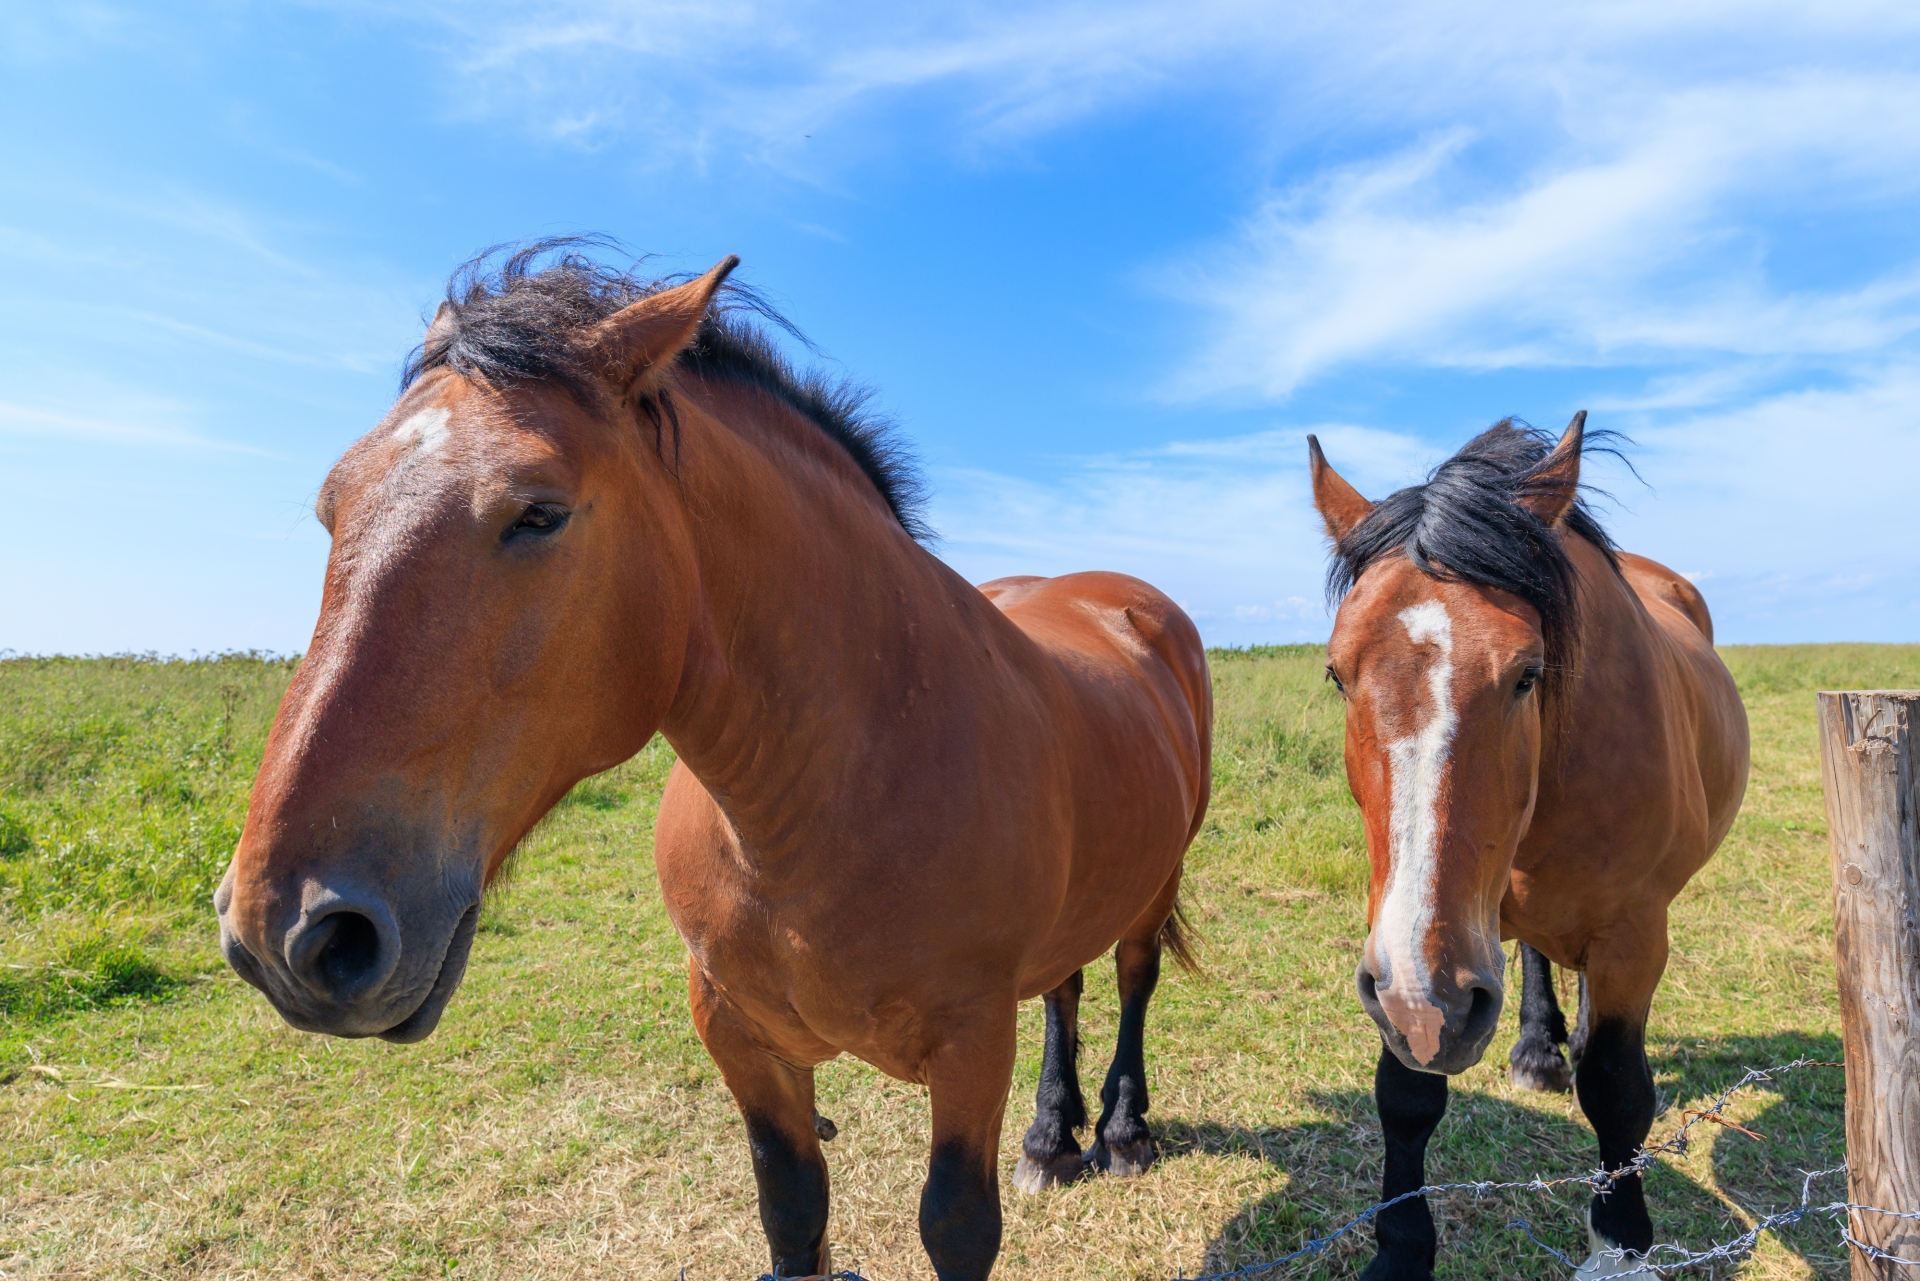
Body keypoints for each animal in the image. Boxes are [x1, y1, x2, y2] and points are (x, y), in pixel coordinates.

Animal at [213, 241, 1212, 1281]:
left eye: (539, 514)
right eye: (333, 507)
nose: (287, 929)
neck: (830, 794)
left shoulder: (972, 1044)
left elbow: (956, 1224)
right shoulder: (736, 1032)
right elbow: (793, 1209)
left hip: (1155, 880)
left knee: (1130, 978)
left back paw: (1122, 1131)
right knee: (1065, 985)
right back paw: (1051, 1137)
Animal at [1307, 416, 1749, 1279]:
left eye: (1526, 673)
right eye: (1340, 674)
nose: (1429, 1001)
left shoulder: (1633, 934)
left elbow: (1617, 1085)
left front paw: (1621, 1245)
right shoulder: (1403, 952)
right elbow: (1406, 1090)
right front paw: (1400, 1249)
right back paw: (1541, 1048)